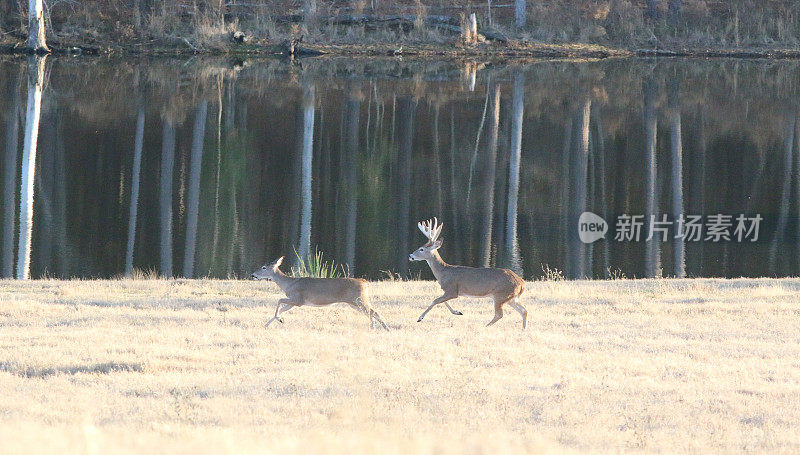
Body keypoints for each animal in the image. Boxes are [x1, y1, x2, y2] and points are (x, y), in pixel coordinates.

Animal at [248, 258, 390, 330]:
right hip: (354, 303)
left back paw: (385, 328)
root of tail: (364, 282)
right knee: (371, 313)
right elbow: (282, 309)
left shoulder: (298, 300)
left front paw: (279, 320)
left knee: (375, 312)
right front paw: (269, 324)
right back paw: (373, 328)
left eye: (264, 267)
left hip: (358, 299)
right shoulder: (294, 302)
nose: (253, 275)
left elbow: (279, 301)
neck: (289, 284)